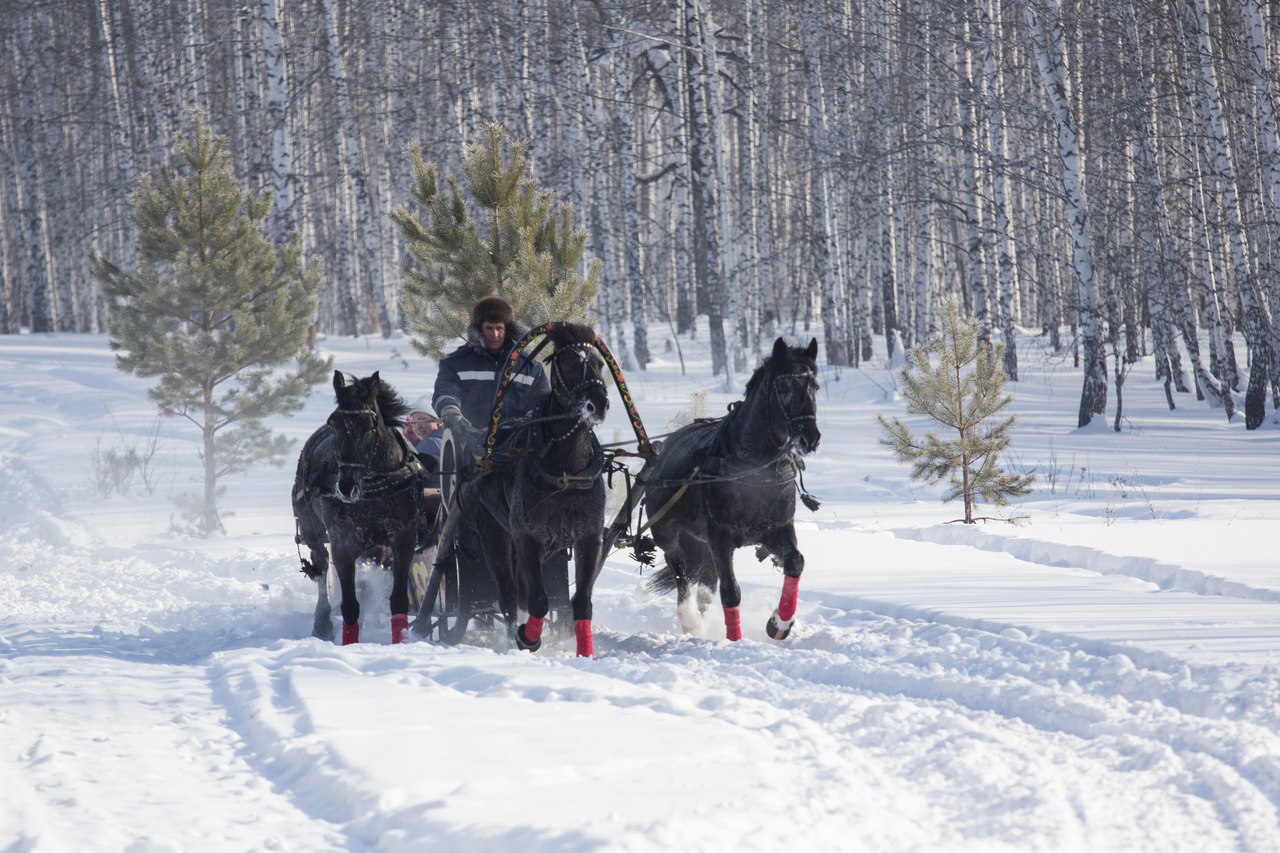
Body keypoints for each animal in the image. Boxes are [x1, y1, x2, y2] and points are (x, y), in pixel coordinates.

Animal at [293, 368, 422, 640]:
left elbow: (398, 599)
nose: (345, 487)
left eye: (369, 426)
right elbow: (349, 604)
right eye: (334, 423)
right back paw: (322, 622)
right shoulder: (342, 541)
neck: (374, 487)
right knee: (321, 564)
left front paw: (402, 641)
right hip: (312, 529)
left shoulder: (403, 537)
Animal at [463, 322, 611, 653]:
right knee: (509, 594)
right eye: (568, 363)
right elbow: (539, 600)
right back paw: (510, 635)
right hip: (495, 536)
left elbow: (582, 602)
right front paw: (526, 637)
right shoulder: (527, 537)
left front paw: (585, 653)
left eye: (598, 363)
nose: (597, 404)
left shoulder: (588, 538)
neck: (567, 473)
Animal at [650, 335, 819, 640]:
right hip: (667, 532)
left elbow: (795, 563)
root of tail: (663, 449)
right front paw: (735, 640)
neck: (753, 468)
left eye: (814, 386)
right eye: (784, 386)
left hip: (702, 546)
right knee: (679, 568)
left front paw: (779, 623)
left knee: (704, 586)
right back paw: (690, 620)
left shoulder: (777, 530)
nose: (810, 438)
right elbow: (731, 591)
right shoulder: (720, 538)